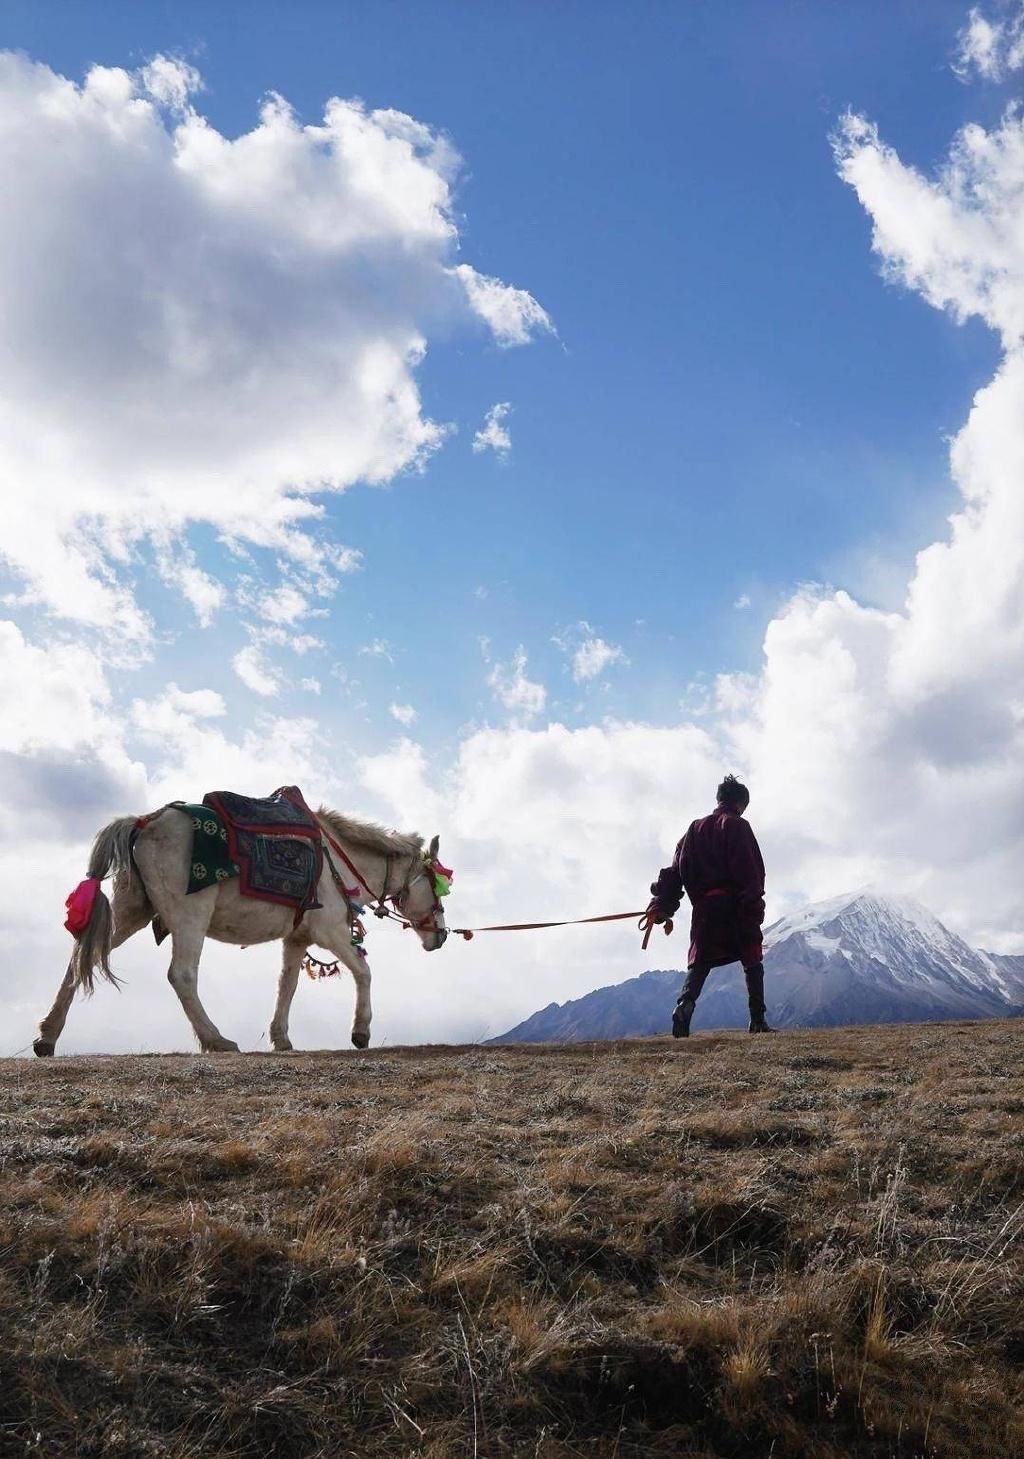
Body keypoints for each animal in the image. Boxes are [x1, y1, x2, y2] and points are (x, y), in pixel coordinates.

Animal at [37, 805, 446, 1056]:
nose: (441, 935)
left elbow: (287, 985)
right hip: (190, 916)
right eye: (437, 883)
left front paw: (281, 1038)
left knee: (82, 957)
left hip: (132, 910)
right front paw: (360, 1032)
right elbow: (363, 971)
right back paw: (216, 1039)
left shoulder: (297, 938)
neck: (340, 861)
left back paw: (47, 1036)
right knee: (181, 975)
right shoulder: (330, 932)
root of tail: (143, 822)